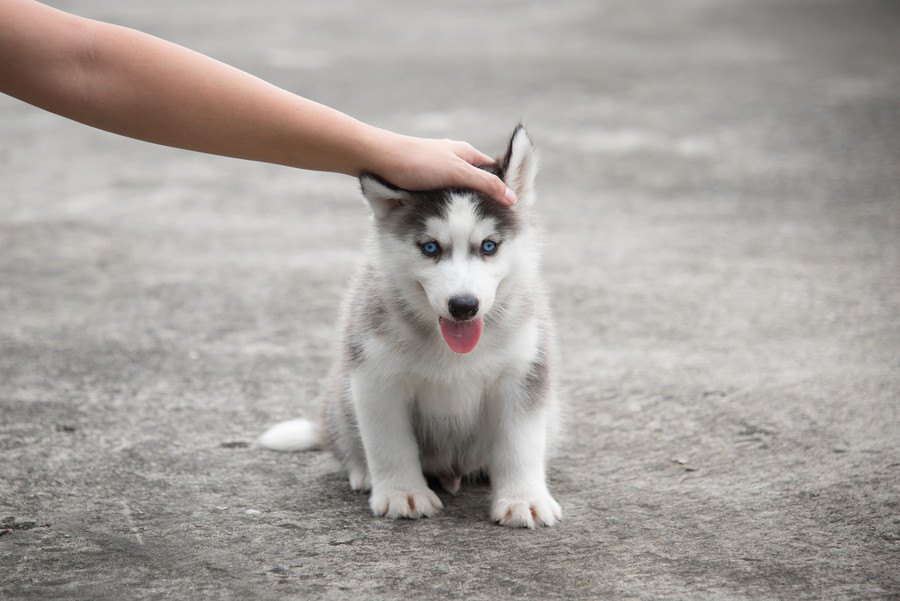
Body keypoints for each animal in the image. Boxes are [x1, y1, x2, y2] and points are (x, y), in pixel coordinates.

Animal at [256, 125, 560, 524]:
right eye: (430, 248)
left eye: (489, 246)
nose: (464, 306)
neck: (451, 349)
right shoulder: (376, 377)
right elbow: (389, 443)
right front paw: (404, 494)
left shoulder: (523, 371)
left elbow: (520, 444)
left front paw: (523, 500)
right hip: (341, 396)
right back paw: (364, 472)